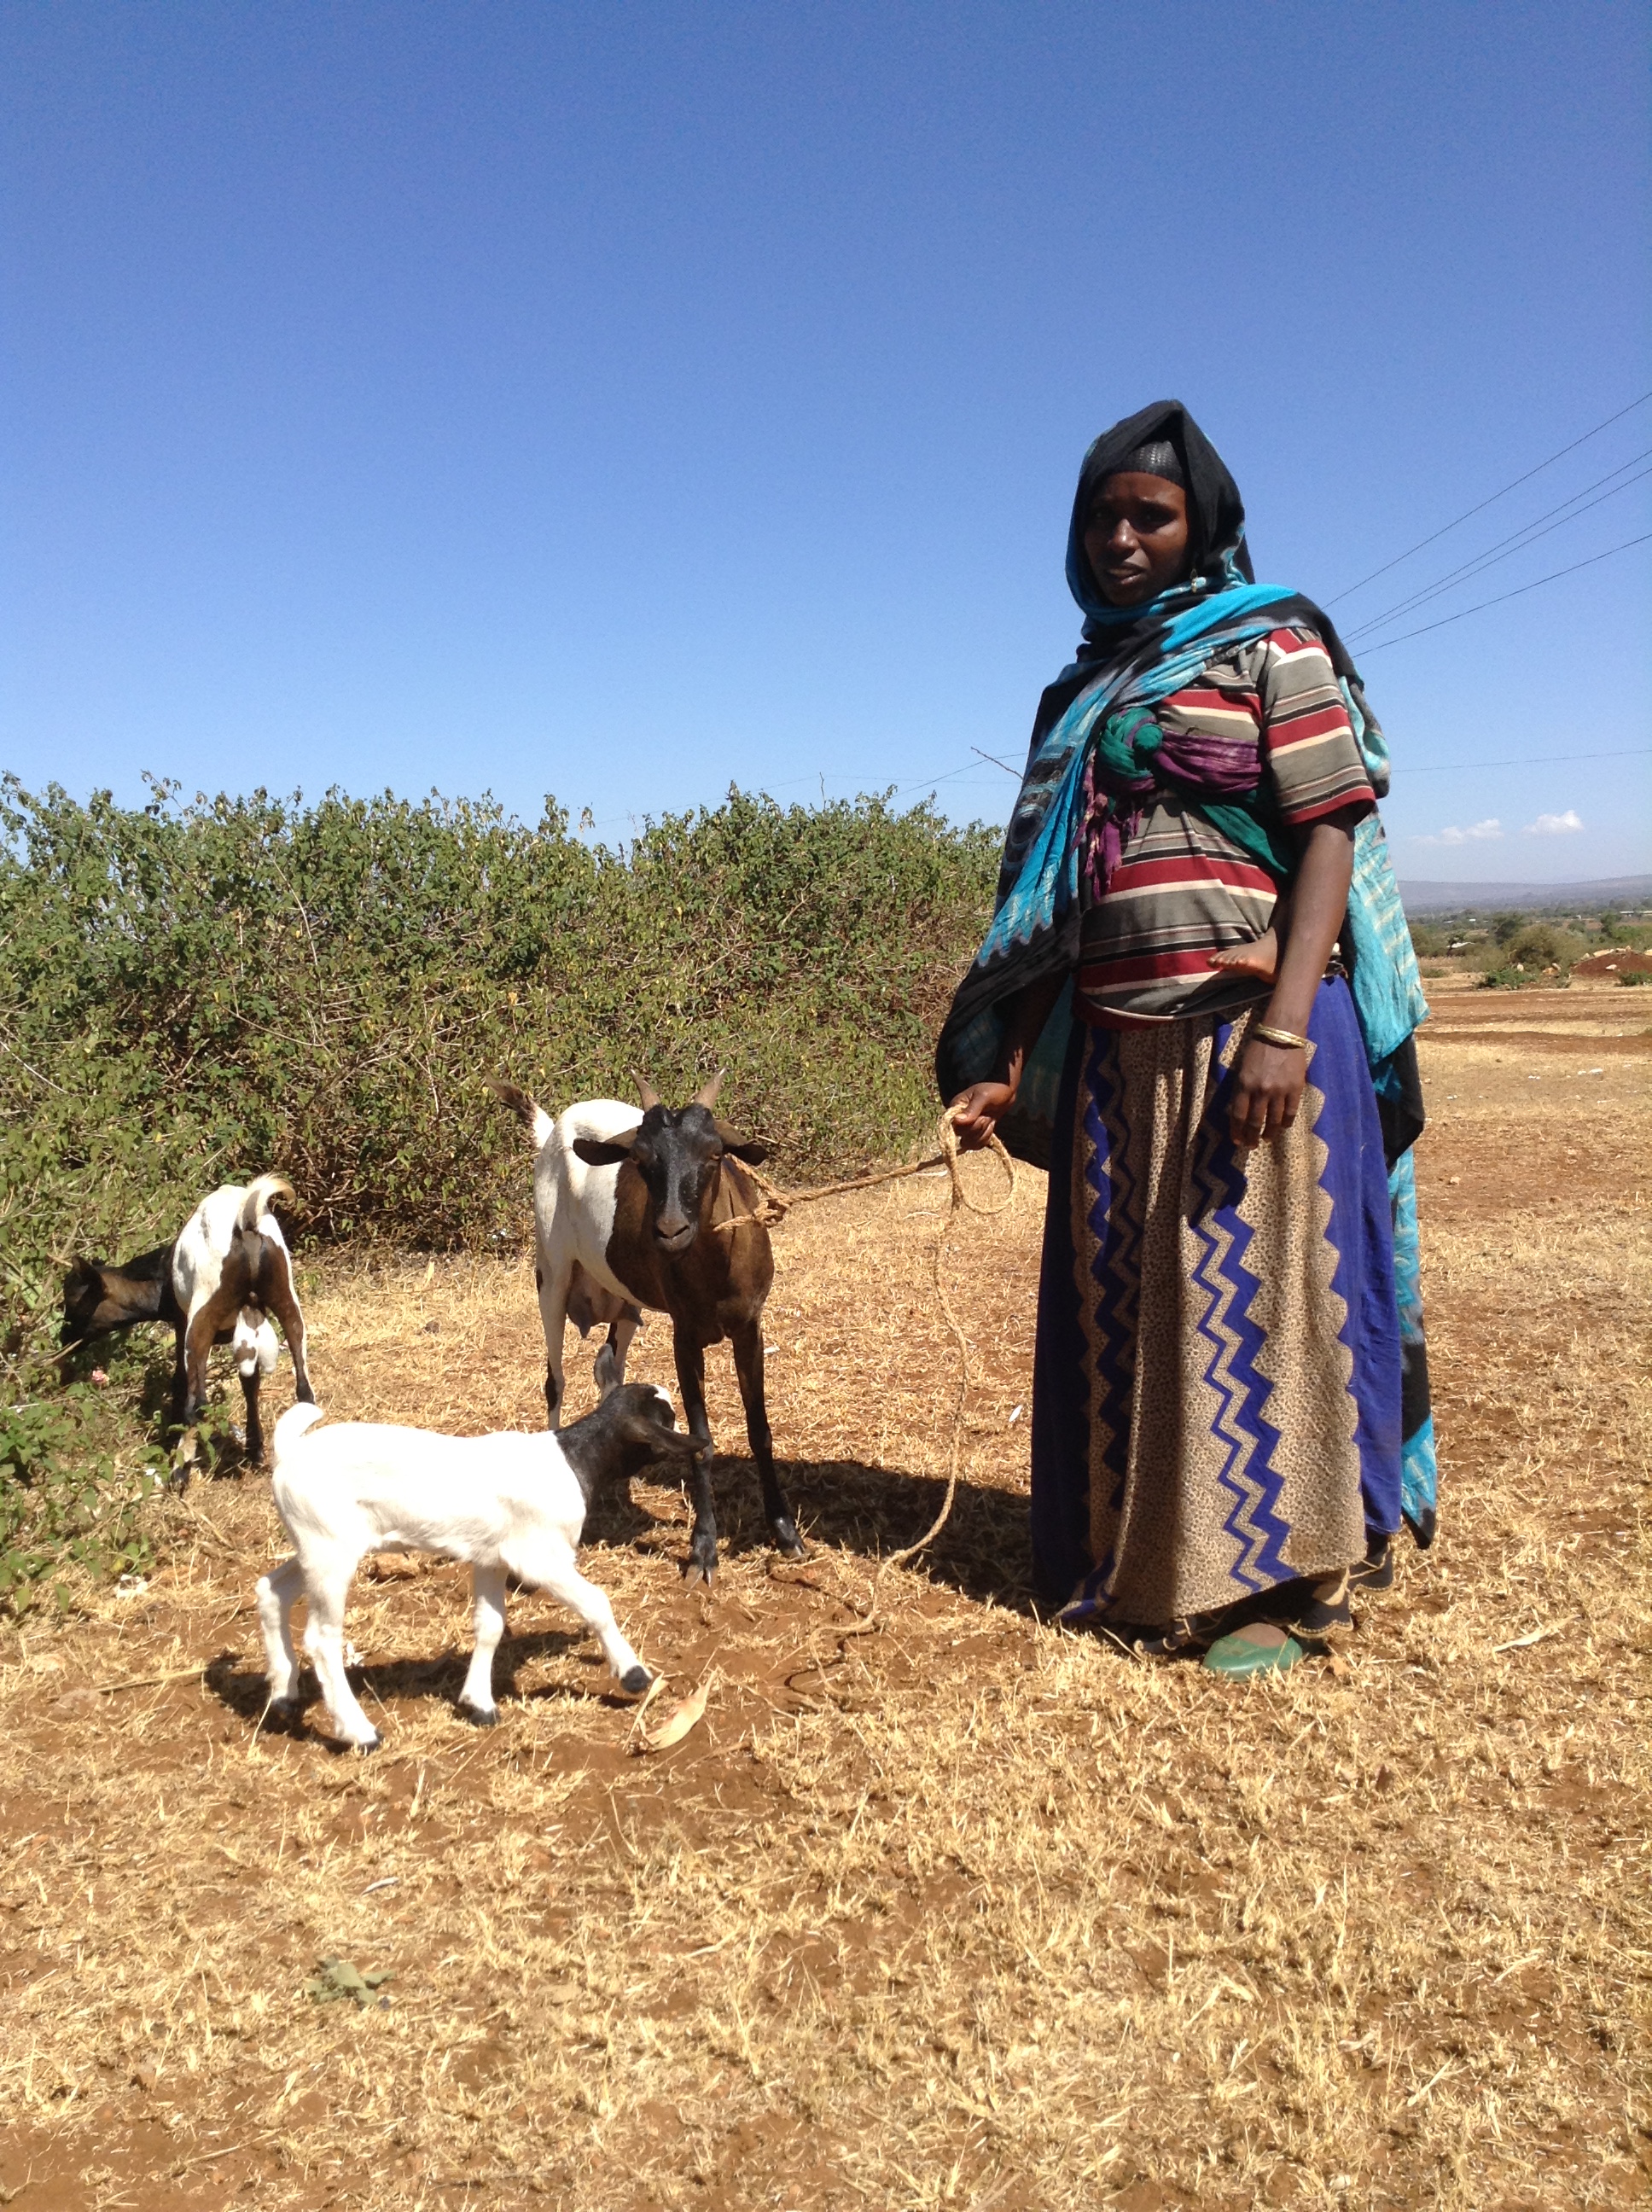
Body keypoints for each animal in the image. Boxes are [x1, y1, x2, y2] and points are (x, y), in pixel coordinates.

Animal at [61, 1176, 316, 1469]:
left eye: (73, 1300)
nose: (64, 1338)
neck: (161, 1277)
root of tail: (246, 1222)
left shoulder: (181, 1323)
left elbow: (180, 1381)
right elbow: (250, 1382)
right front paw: (254, 1450)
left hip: (202, 1312)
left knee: (198, 1402)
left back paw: (179, 1468)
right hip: (285, 1291)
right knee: (304, 1386)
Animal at [259, 1380, 698, 1743]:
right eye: (667, 1418)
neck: (571, 1460)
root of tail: (289, 1454)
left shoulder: (491, 1559)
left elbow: (490, 1626)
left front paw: (479, 1704)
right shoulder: (540, 1559)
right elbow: (596, 1602)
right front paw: (633, 1674)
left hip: (315, 1544)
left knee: (272, 1590)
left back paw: (283, 1696)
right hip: (330, 1550)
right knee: (322, 1638)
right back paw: (358, 1732)